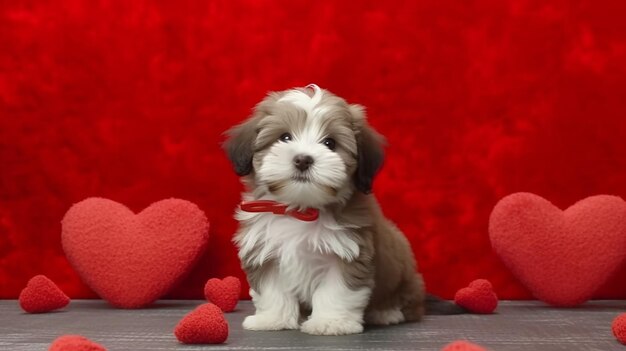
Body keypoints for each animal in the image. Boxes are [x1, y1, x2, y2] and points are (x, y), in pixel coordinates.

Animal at [223, 84, 458, 336]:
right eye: (284, 137)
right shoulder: (264, 251)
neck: (301, 210)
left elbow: (336, 291)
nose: (303, 159)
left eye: (330, 143)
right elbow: (272, 290)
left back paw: (386, 312)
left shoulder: (349, 252)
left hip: (404, 278)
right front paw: (272, 319)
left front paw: (330, 322)